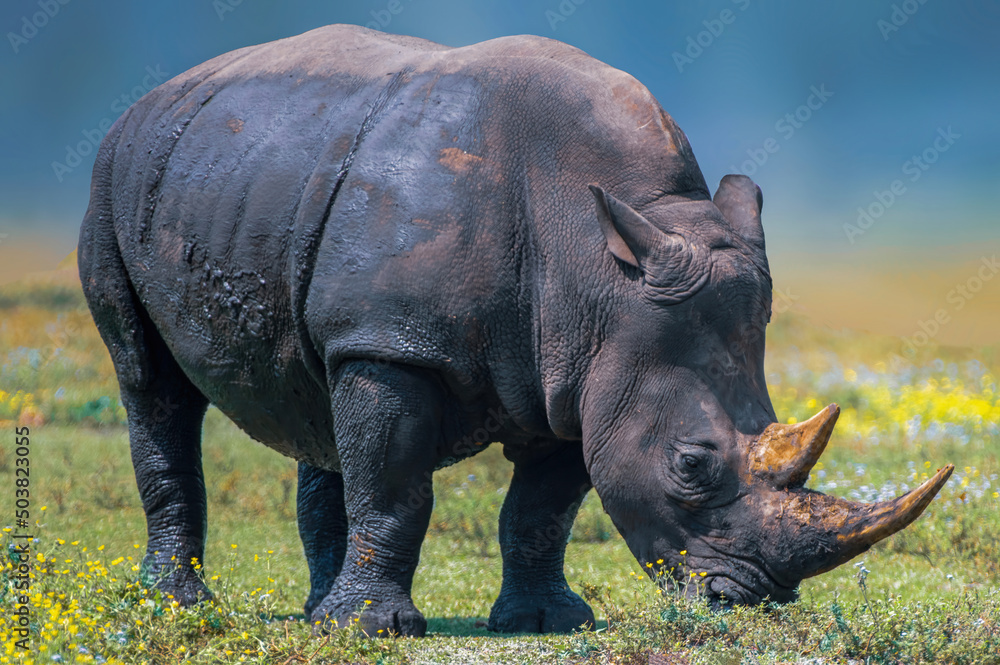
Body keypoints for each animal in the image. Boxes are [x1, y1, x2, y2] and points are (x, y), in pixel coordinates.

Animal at [78, 24, 952, 636]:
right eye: (691, 464)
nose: (746, 599)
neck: (601, 268)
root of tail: (156, 96)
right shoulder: (398, 341)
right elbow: (395, 485)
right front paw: (376, 631)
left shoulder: (583, 370)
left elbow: (541, 509)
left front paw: (545, 621)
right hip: (117, 175)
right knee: (151, 384)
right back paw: (184, 606)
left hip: (261, 187)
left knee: (319, 397)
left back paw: (316, 610)